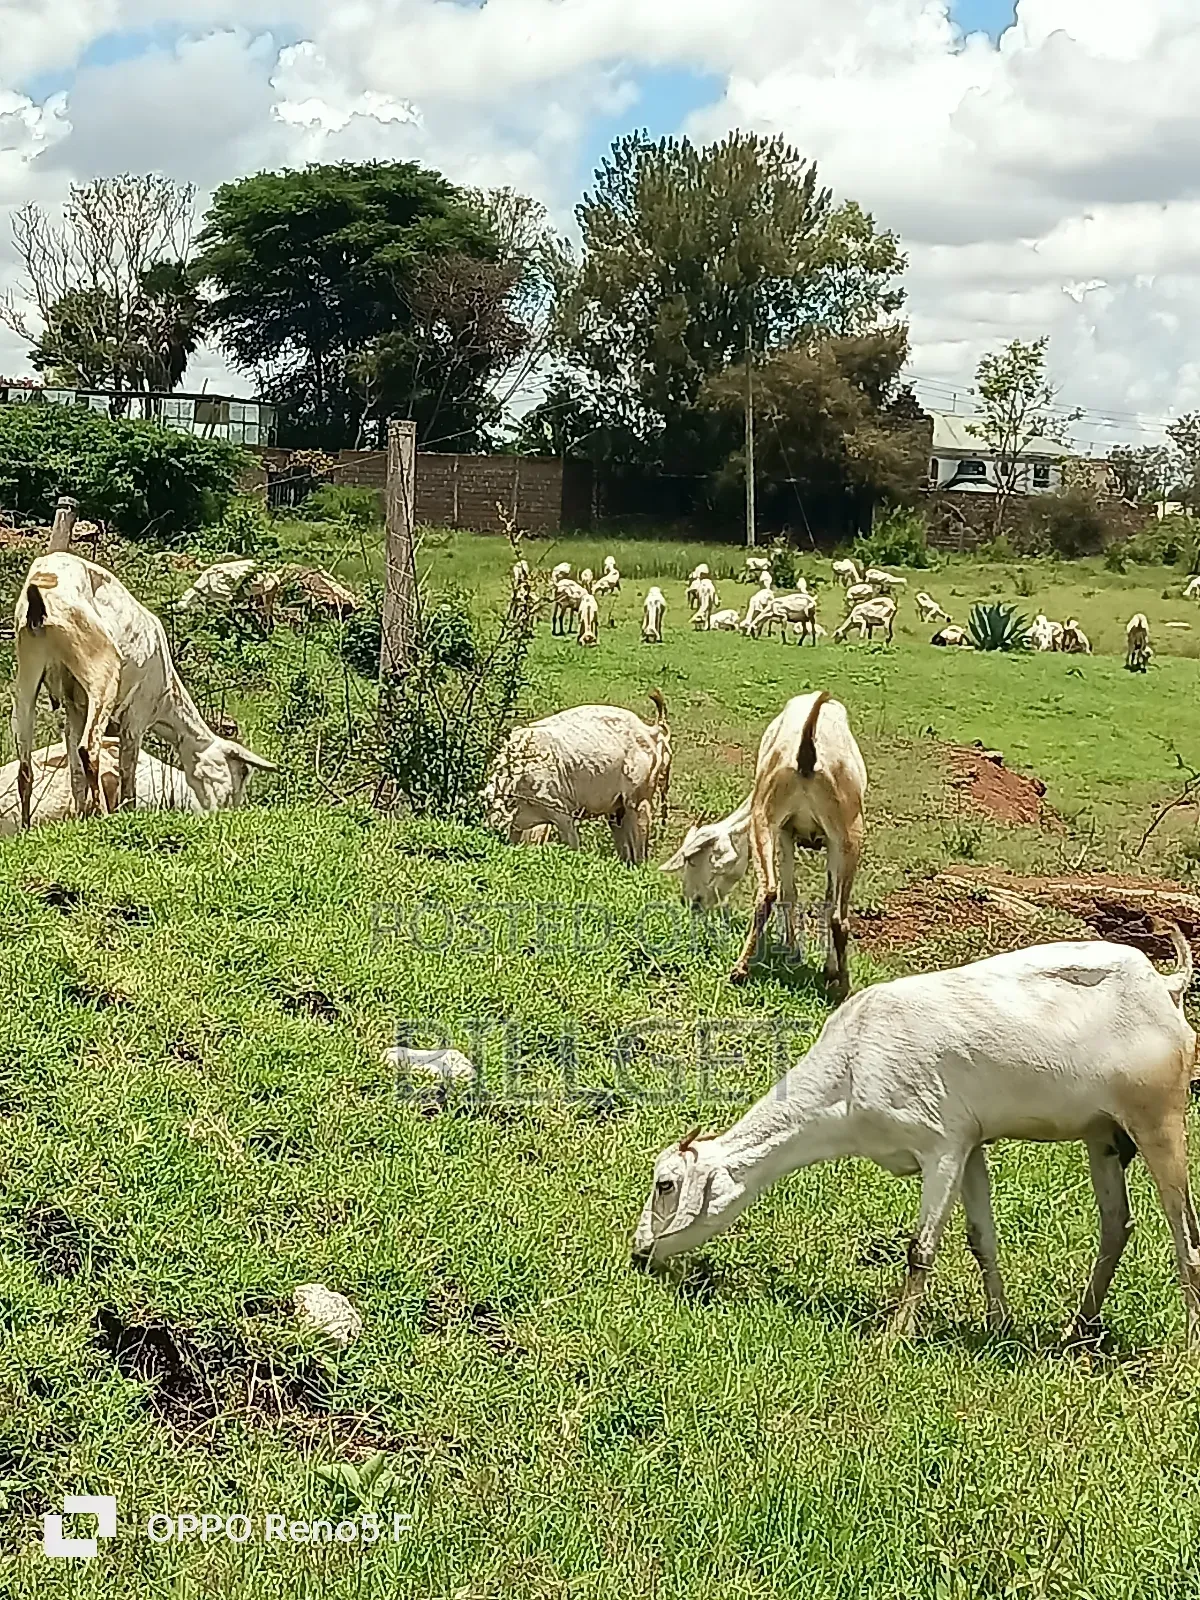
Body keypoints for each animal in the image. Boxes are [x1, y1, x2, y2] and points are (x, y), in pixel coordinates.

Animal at [12, 552, 275, 826]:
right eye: (234, 778)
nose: (224, 813)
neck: (166, 697)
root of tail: (39, 594)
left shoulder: (75, 709)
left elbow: (75, 773)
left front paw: (81, 816)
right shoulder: (136, 714)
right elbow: (128, 774)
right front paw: (124, 812)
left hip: (27, 670)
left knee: (25, 767)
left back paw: (27, 826)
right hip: (102, 670)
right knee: (89, 747)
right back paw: (103, 813)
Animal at [632, 930, 1200, 1351]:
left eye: (665, 1184)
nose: (639, 1253)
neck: (853, 1062)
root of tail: (1163, 986)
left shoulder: (942, 1148)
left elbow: (920, 1249)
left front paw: (892, 1338)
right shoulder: (972, 1147)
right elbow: (981, 1239)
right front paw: (998, 1327)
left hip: (1158, 1120)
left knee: (1185, 1233)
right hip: (1103, 1136)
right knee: (1116, 1226)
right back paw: (1075, 1332)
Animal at [662, 691, 866, 993]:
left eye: (692, 860)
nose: (690, 902)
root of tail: (807, 753)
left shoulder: (786, 832)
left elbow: (789, 891)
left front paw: (792, 949)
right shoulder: (827, 839)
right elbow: (821, 898)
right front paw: (823, 966)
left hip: (767, 818)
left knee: (770, 890)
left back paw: (740, 970)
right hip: (850, 834)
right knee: (838, 917)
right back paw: (841, 986)